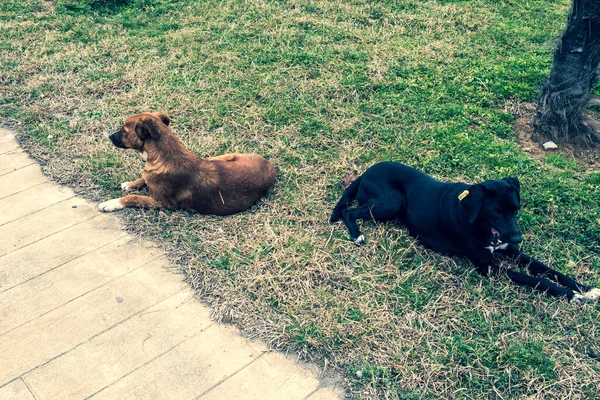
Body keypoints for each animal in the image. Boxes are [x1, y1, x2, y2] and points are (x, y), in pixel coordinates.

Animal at [99, 111, 276, 217]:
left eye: (124, 131)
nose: (109, 136)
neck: (165, 155)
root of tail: (269, 164)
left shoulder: (164, 204)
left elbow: (134, 198)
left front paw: (111, 203)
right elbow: (143, 178)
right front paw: (131, 184)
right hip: (220, 157)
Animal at [330, 162, 600, 304]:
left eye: (516, 209)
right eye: (496, 212)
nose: (517, 238)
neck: (479, 223)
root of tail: (366, 172)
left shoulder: (512, 253)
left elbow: (548, 270)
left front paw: (584, 287)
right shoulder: (490, 267)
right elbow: (536, 280)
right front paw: (571, 295)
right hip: (391, 202)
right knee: (349, 211)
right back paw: (356, 235)